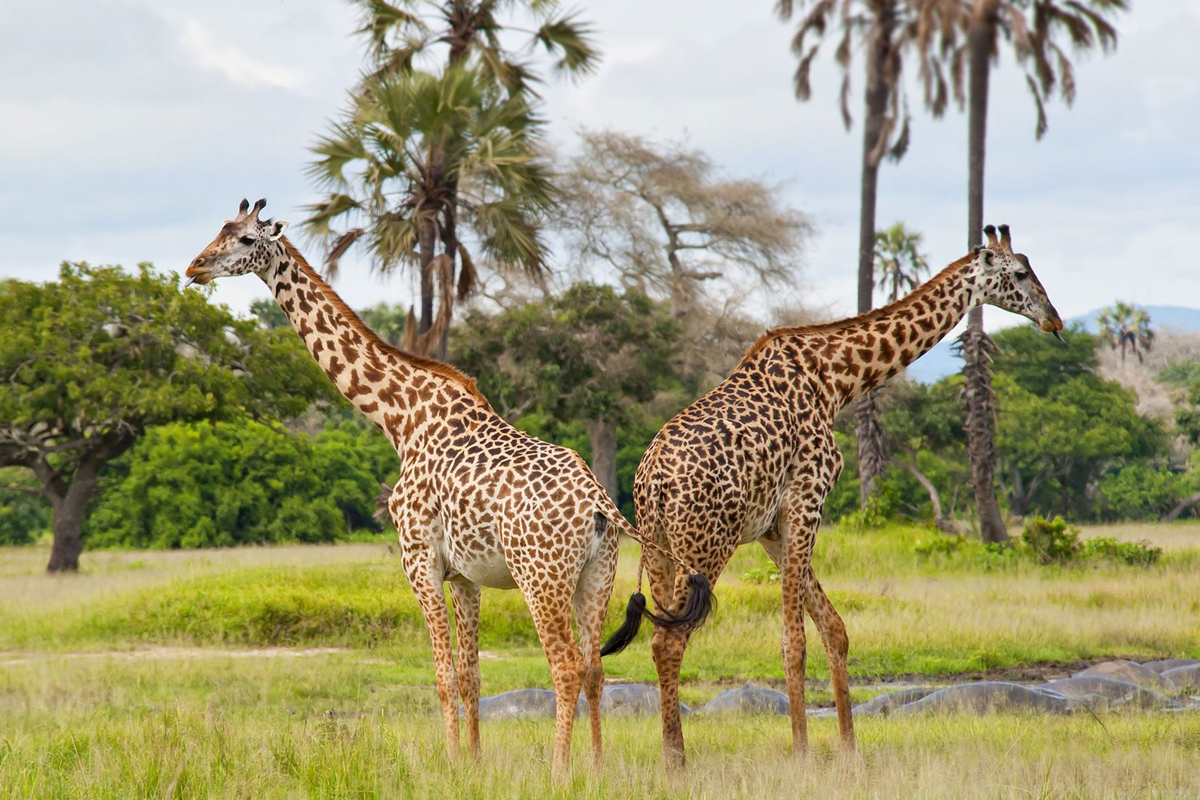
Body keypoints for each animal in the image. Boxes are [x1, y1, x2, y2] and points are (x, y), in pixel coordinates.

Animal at [184, 200, 710, 782]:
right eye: (220, 229)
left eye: (243, 239)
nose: (194, 267)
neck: (400, 416)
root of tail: (600, 506)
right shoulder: (465, 576)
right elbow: (469, 675)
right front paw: (474, 764)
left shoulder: (419, 561)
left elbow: (439, 675)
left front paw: (452, 762)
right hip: (596, 574)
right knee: (595, 667)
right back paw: (594, 769)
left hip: (540, 578)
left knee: (566, 666)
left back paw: (559, 770)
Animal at [614, 224, 1065, 767]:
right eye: (1019, 273)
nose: (1054, 319)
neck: (835, 379)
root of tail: (651, 482)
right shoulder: (806, 500)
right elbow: (794, 640)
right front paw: (803, 753)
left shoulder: (770, 528)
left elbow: (834, 628)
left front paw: (850, 750)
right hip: (705, 545)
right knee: (669, 639)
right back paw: (677, 763)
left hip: (660, 547)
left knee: (661, 637)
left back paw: (670, 756)